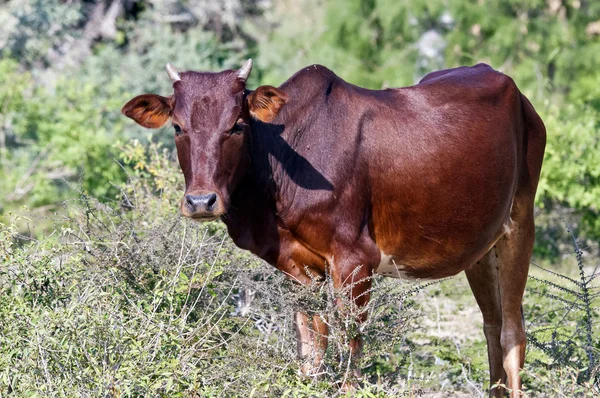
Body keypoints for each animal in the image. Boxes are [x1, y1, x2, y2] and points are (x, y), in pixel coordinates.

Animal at [120, 60, 544, 396]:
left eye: (237, 125)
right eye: (178, 127)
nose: (201, 201)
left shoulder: (355, 261)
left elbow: (350, 346)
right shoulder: (298, 267)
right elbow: (312, 348)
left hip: (520, 227)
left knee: (511, 332)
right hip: (482, 250)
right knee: (490, 327)